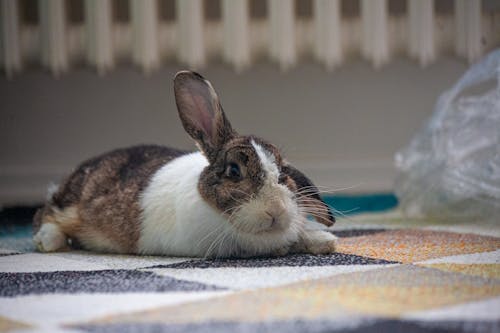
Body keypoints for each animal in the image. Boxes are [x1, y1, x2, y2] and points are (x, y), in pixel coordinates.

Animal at [33, 69, 338, 256]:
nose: (275, 211)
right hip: (71, 206)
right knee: (45, 213)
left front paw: (325, 241)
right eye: (233, 171)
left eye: (283, 173)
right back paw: (48, 241)